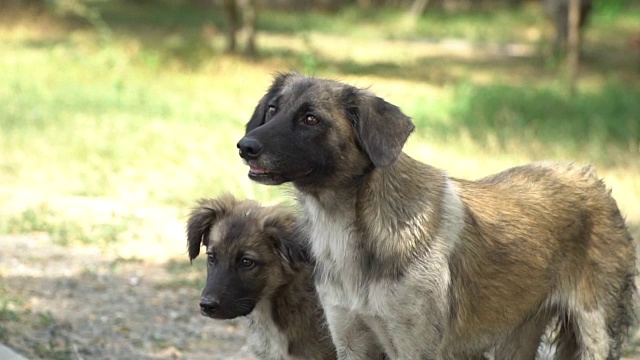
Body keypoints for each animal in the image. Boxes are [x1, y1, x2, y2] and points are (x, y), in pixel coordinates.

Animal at [238, 71, 636, 358]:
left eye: (310, 119)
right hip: (517, 334)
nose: (244, 147)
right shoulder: (351, 341)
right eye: (272, 110)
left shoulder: (415, 347)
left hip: (596, 330)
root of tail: (591, 176)